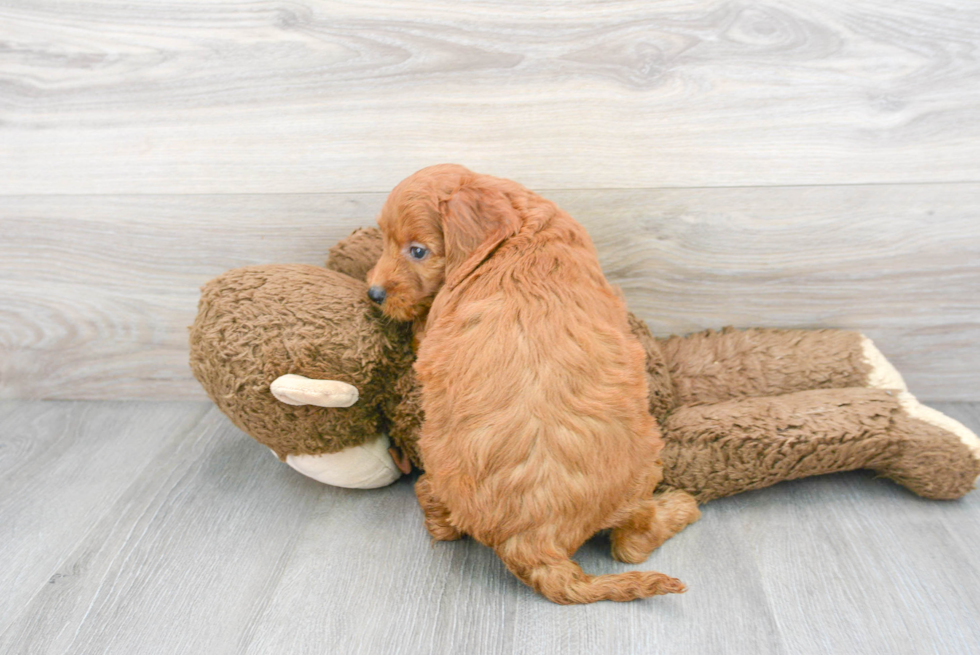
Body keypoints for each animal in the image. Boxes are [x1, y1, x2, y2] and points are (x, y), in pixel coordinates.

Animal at [366, 165, 696, 604]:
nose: (373, 293)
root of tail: (534, 542)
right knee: (631, 543)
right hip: (644, 469)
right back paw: (681, 506)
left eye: (417, 251)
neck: (517, 236)